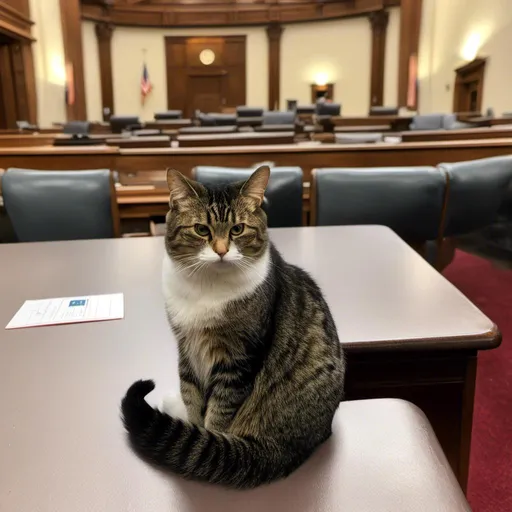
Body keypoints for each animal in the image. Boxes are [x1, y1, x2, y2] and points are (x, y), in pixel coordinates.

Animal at [121, 167, 344, 488]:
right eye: (201, 230)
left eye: (237, 229)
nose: (222, 251)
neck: (208, 287)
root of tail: (287, 448)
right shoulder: (186, 347)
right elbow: (191, 394)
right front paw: (193, 422)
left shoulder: (239, 359)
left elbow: (218, 413)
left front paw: (208, 438)